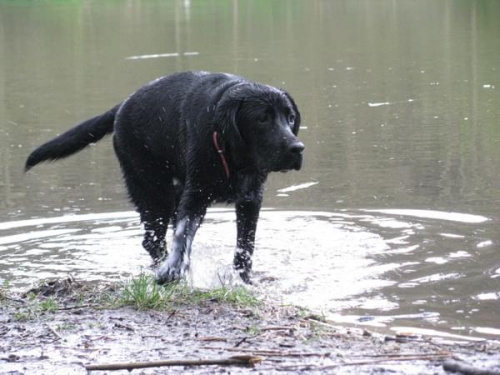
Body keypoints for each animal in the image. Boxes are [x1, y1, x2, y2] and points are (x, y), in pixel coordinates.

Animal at [25, 72, 302, 284]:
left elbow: (245, 245)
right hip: (151, 190)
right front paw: (173, 269)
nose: (297, 148)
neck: (231, 155)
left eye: (290, 117)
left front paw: (243, 280)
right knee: (152, 240)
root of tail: (122, 105)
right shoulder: (196, 195)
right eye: (262, 118)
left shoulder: (250, 198)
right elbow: (183, 234)